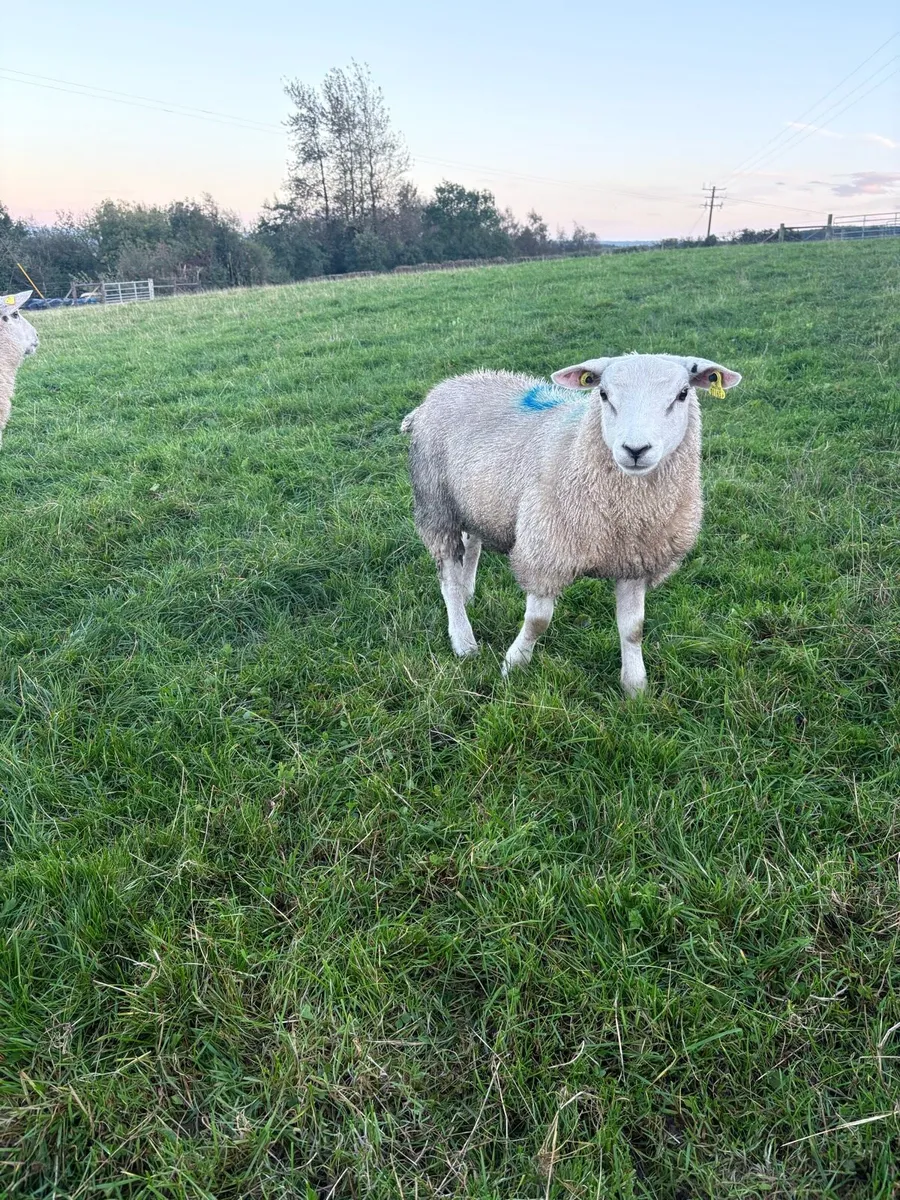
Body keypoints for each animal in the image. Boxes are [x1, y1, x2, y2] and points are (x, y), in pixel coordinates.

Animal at [401, 352, 742, 694]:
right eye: (603, 394)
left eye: (683, 394)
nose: (635, 450)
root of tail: (447, 386)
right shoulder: (546, 552)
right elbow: (538, 621)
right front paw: (514, 664)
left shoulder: (635, 561)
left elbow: (633, 628)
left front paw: (635, 686)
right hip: (436, 503)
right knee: (447, 573)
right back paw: (463, 637)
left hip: (475, 500)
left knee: (472, 543)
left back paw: (467, 590)